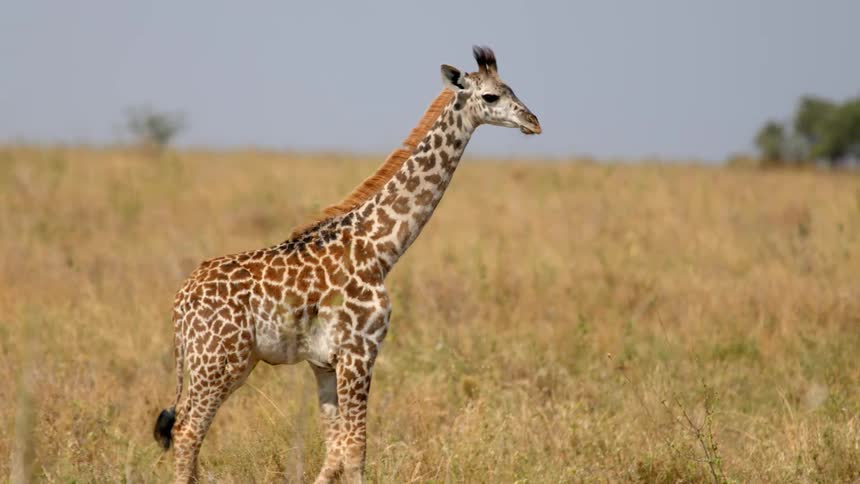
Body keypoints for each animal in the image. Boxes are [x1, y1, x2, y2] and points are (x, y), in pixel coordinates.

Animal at [153, 45, 541, 483]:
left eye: (512, 88)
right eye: (490, 97)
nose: (533, 121)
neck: (379, 247)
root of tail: (179, 304)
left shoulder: (323, 362)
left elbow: (335, 451)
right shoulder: (360, 351)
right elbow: (356, 450)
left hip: (211, 362)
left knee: (186, 429)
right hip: (219, 362)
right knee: (187, 431)